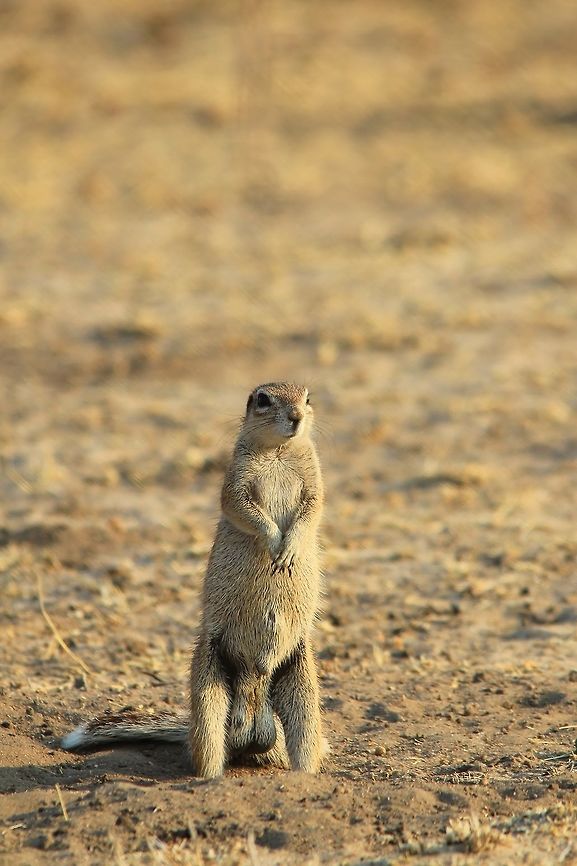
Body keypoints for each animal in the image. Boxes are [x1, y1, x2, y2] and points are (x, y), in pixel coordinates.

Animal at [61, 382, 327, 777]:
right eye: (263, 399)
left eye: (308, 398)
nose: (296, 416)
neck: (279, 451)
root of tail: (252, 730)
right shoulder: (235, 480)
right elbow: (242, 508)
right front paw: (274, 542)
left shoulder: (314, 481)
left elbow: (312, 509)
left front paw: (289, 548)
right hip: (208, 683)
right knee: (208, 750)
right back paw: (211, 777)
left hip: (303, 682)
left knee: (304, 744)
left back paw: (304, 774)